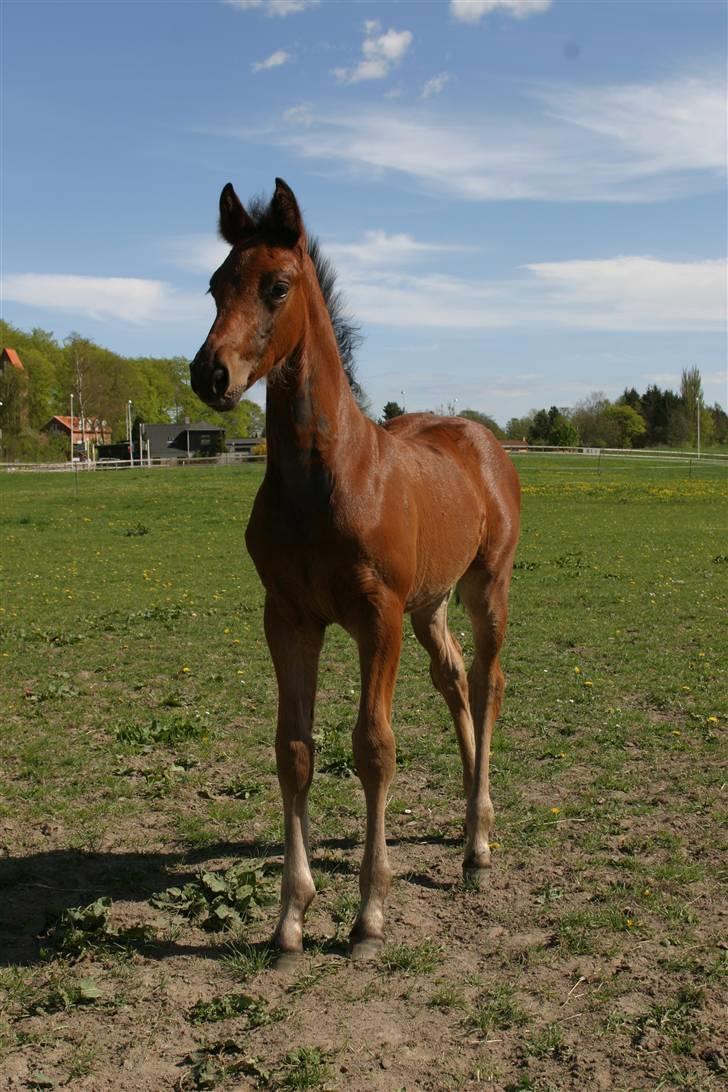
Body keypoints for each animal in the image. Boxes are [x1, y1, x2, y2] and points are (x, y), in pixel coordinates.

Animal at [191, 179, 521, 956]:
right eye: (215, 285)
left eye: (277, 286)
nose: (210, 373)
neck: (325, 477)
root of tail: (480, 436)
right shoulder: (288, 618)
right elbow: (294, 751)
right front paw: (290, 918)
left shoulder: (378, 617)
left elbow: (374, 749)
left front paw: (369, 915)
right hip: (429, 604)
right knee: (454, 681)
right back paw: (472, 819)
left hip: (484, 587)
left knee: (487, 682)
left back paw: (479, 847)